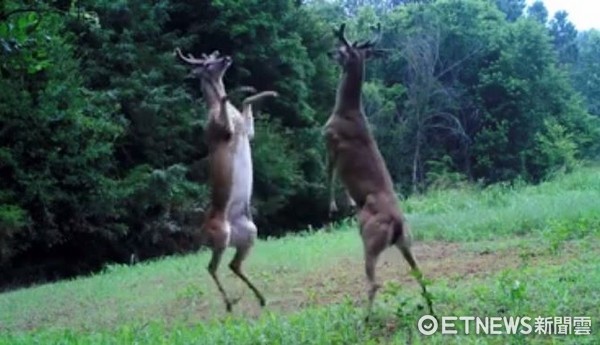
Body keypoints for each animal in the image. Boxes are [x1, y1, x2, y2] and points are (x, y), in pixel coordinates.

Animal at [173, 47, 276, 310]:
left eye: (213, 57)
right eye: (207, 64)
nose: (227, 58)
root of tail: (201, 233)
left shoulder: (248, 132)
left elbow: (245, 104)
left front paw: (265, 91)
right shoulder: (223, 132)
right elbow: (224, 100)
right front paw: (234, 92)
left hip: (249, 233)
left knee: (232, 265)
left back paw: (259, 298)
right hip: (221, 235)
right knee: (211, 267)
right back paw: (230, 303)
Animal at [324, 23, 436, 320]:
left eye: (342, 49)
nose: (329, 53)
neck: (347, 110)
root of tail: (396, 224)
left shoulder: (331, 141)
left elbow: (329, 176)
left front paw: (332, 205)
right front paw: (348, 202)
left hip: (370, 238)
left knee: (374, 282)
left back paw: (365, 319)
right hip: (407, 240)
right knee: (420, 272)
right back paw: (432, 310)